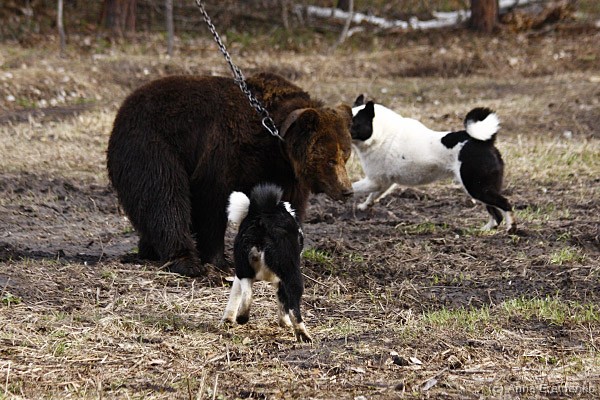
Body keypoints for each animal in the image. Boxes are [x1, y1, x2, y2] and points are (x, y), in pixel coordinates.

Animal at [107, 72, 353, 278]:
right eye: (330, 159)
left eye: (346, 155)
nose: (347, 190)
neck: (274, 140)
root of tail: (123, 110)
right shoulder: (226, 152)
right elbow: (211, 203)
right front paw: (218, 261)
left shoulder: (281, 173)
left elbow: (289, 208)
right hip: (152, 144)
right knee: (165, 197)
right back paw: (186, 262)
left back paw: (148, 250)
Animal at [222, 183, 312, 342]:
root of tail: (262, 220)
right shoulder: (281, 281)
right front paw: (285, 323)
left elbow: (236, 293)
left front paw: (228, 319)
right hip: (290, 273)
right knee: (293, 307)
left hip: (244, 267)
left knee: (247, 291)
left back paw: (242, 317)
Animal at [351, 95, 516, 232]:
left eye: (353, 122)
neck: (381, 134)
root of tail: (485, 141)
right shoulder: (383, 183)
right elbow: (372, 197)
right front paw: (364, 206)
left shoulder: (374, 181)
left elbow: (352, 188)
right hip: (480, 188)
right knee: (496, 214)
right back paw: (484, 230)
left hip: (477, 188)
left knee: (505, 204)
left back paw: (511, 228)